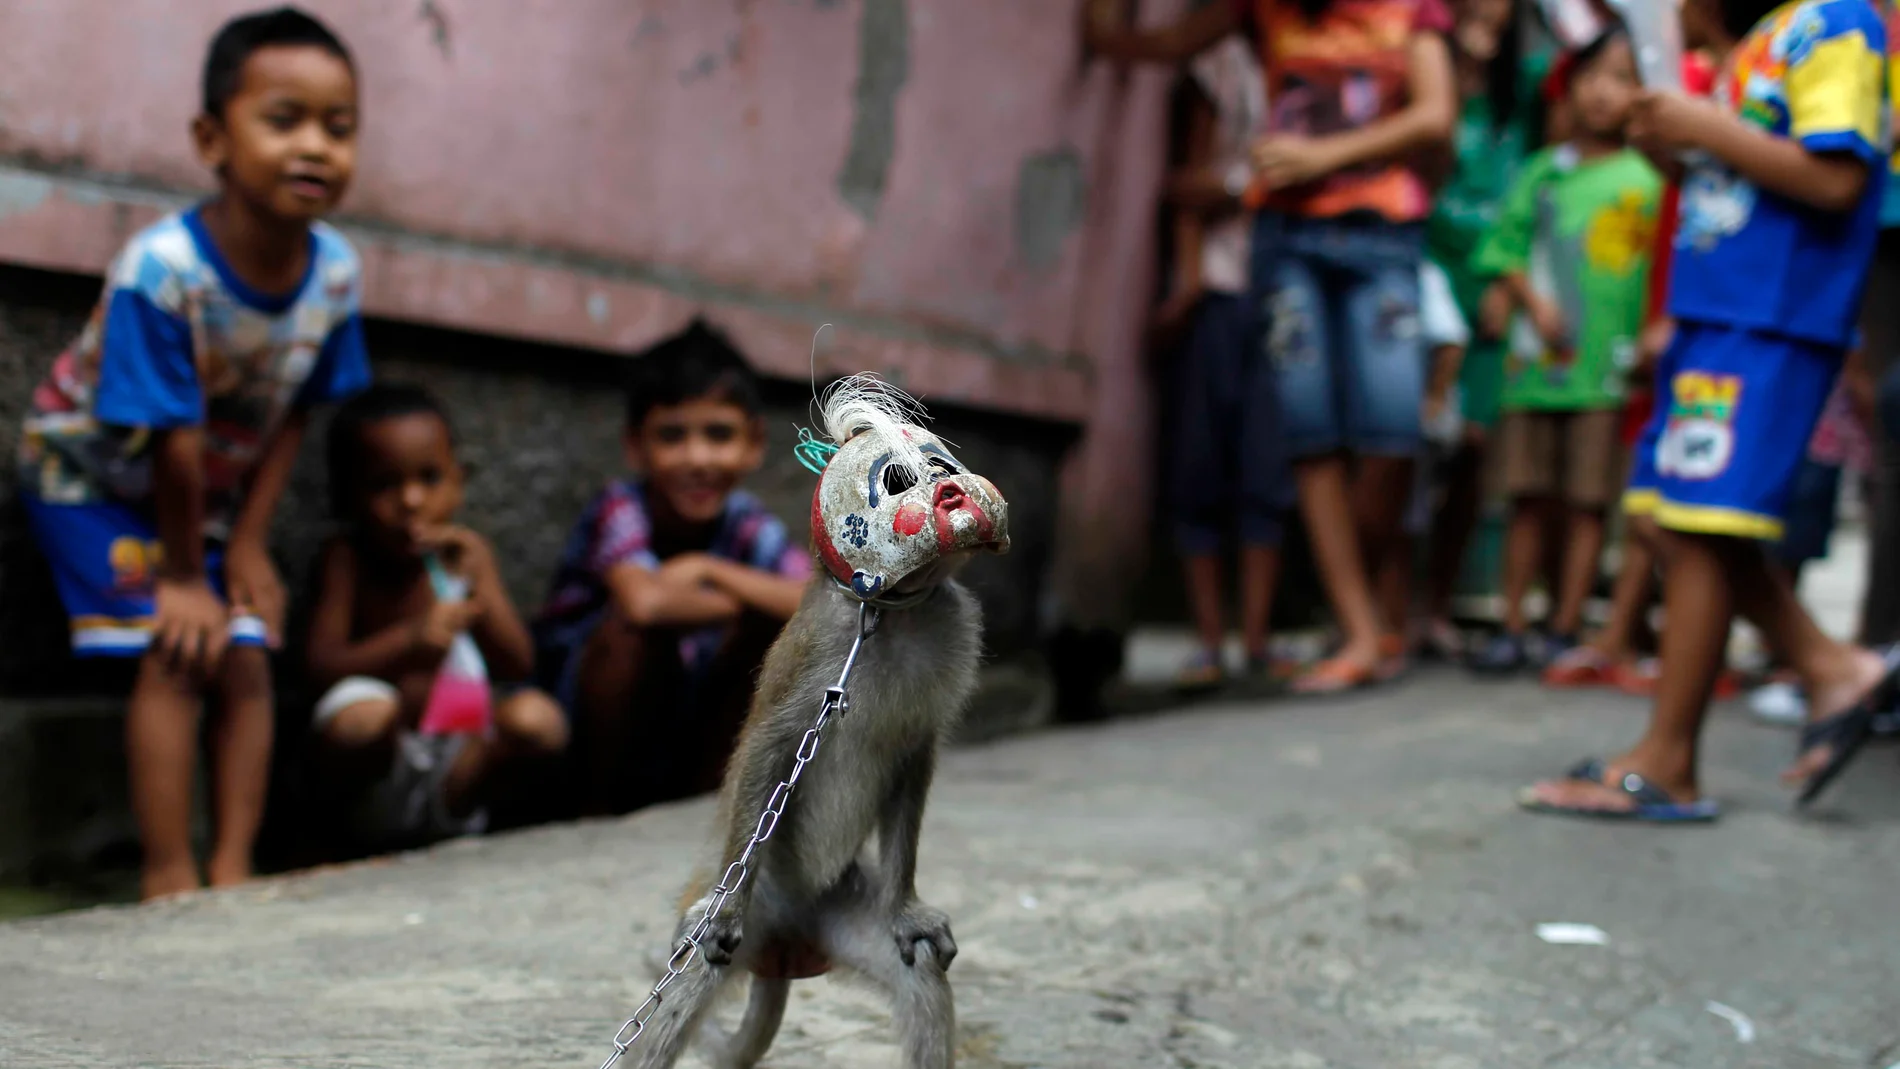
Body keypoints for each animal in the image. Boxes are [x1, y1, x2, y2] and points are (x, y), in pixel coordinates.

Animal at [624, 375, 1010, 1069]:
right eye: (899, 479)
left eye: (943, 466)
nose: (953, 491)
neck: (889, 617)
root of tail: (789, 940)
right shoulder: (820, 649)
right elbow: (769, 747)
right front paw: (721, 915)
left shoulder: (955, 629)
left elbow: (915, 758)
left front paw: (907, 908)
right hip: (759, 899)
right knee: (694, 971)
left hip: (838, 907)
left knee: (920, 976)